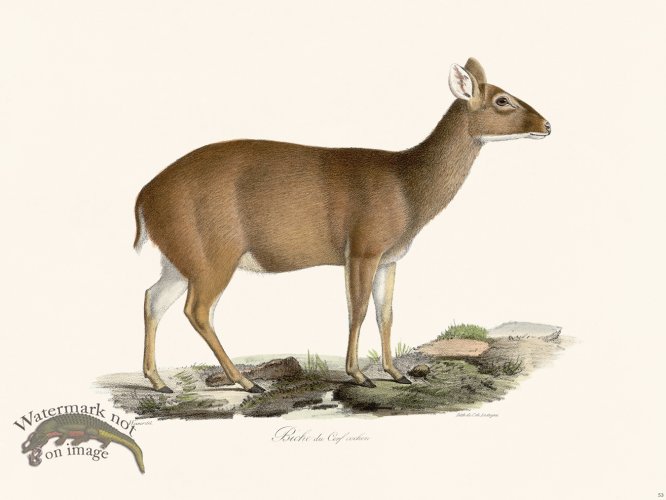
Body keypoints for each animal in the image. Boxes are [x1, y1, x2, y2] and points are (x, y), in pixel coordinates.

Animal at [133, 57, 550, 394]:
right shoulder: (363, 246)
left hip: (181, 256)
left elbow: (386, 313)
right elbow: (358, 309)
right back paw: (246, 381)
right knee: (198, 310)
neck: (408, 188)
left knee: (153, 298)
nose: (547, 124)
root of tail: (143, 199)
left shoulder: (389, 257)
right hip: (214, 252)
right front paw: (359, 375)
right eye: (502, 100)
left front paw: (396, 373)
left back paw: (159, 381)